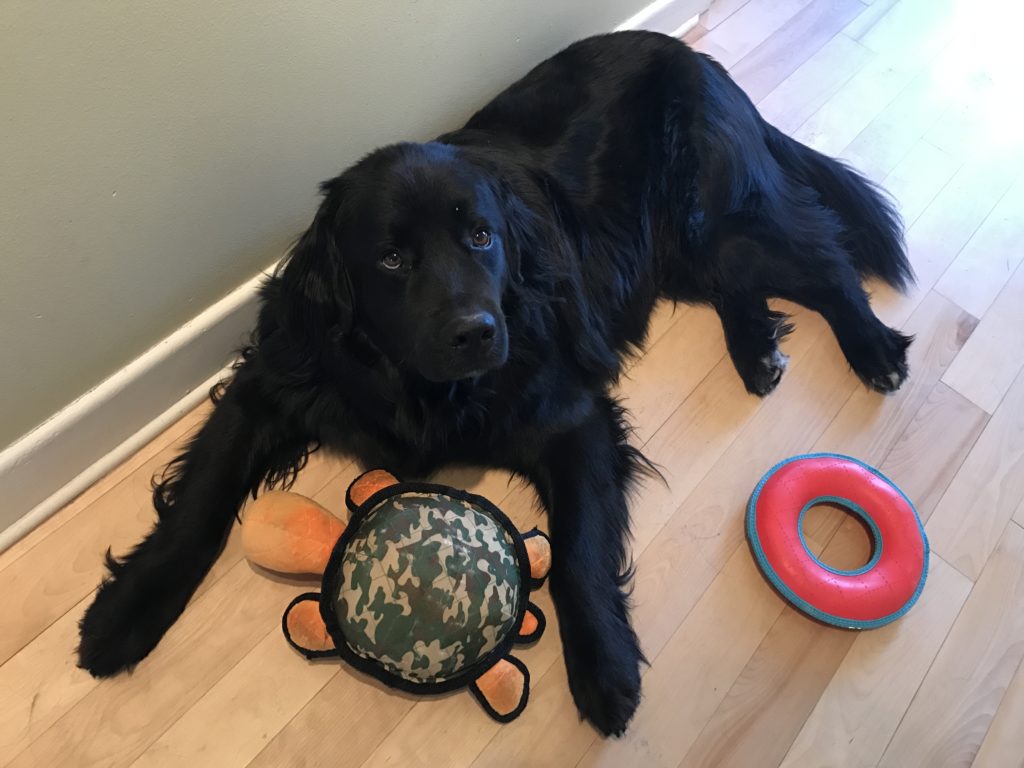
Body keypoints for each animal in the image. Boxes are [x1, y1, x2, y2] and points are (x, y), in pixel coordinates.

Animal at [81, 31, 913, 741]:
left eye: (481, 236)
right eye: (391, 258)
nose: (477, 331)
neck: (412, 382)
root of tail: (691, 54)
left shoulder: (572, 421)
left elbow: (577, 551)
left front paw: (605, 666)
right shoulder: (271, 382)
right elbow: (197, 507)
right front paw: (126, 610)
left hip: (709, 210)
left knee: (824, 256)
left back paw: (872, 348)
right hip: (683, 248)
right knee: (747, 277)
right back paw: (757, 349)